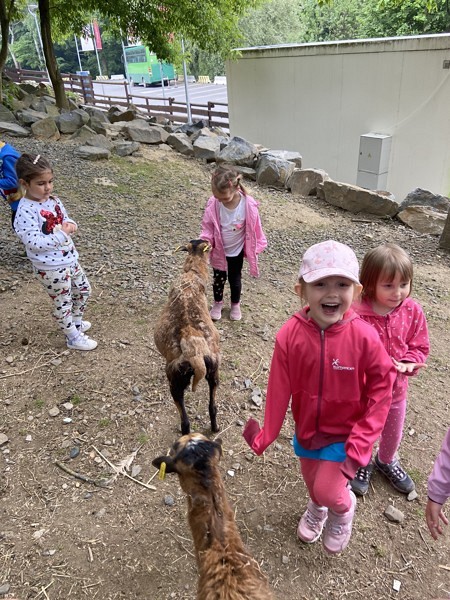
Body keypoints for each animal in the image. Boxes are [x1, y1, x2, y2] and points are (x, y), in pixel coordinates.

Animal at [153, 239, 221, 435]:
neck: (192, 273)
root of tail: (195, 351)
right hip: (214, 371)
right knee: (212, 407)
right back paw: (215, 428)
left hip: (175, 379)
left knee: (185, 421)